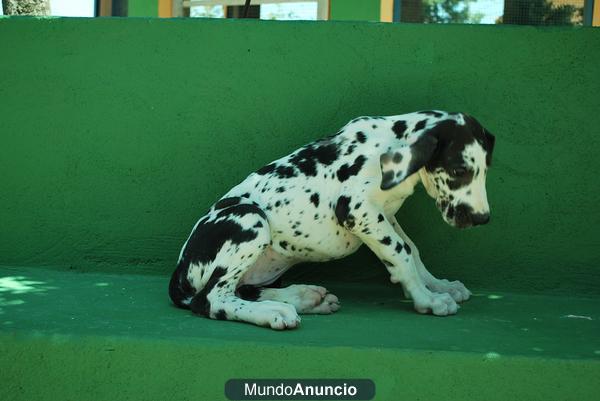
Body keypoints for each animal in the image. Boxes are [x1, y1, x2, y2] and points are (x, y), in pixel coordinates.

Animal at [170, 110, 496, 328]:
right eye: (458, 171)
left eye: (485, 170)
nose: (482, 218)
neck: (388, 142)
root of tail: (180, 268)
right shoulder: (357, 209)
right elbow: (401, 252)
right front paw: (427, 300)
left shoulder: (385, 215)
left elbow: (411, 250)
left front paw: (438, 286)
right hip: (250, 218)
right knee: (211, 299)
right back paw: (274, 311)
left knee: (243, 289)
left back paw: (303, 297)